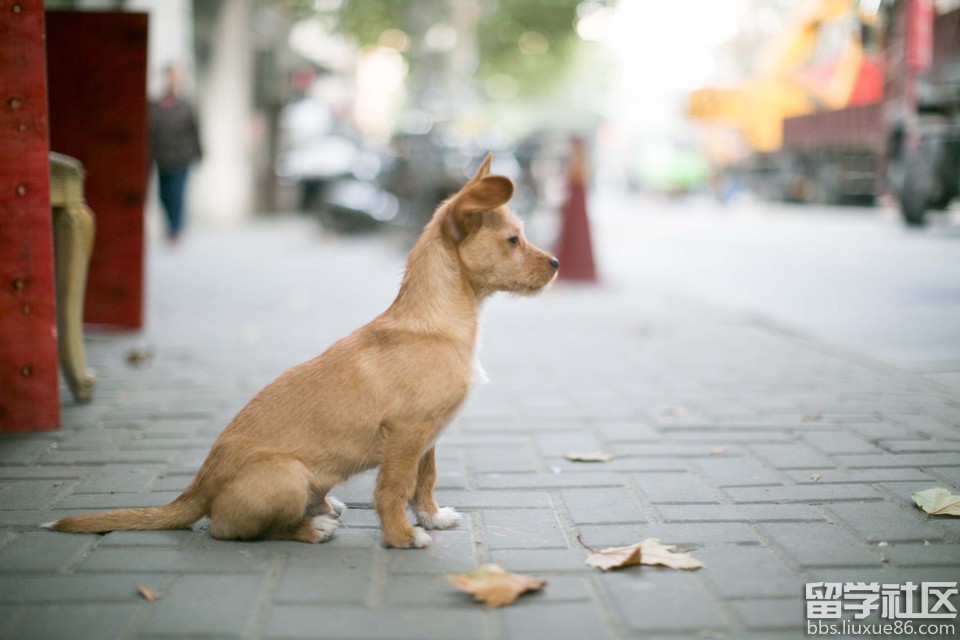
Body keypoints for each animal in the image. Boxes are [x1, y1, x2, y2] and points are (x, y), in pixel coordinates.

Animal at [45, 152, 560, 548]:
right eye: (513, 240)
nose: (557, 263)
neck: (438, 320)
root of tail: (197, 488)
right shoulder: (406, 433)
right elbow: (393, 488)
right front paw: (401, 537)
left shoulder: (428, 436)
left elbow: (424, 480)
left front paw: (432, 516)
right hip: (286, 476)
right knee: (229, 528)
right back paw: (310, 530)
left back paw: (325, 509)